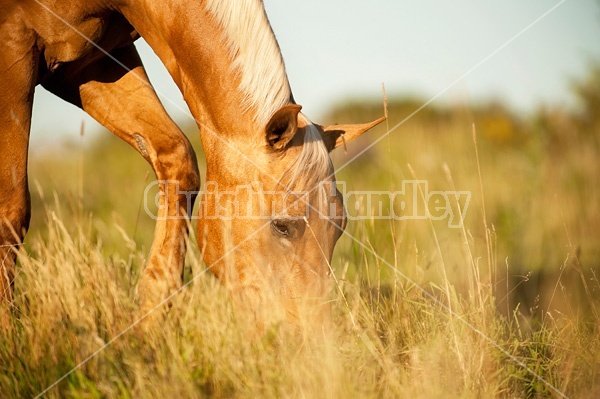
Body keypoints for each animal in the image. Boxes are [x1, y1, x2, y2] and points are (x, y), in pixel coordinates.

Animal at [0, 0, 382, 326]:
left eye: (340, 225)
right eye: (282, 226)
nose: (311, 336)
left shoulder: (90, 64)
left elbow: (177, 157)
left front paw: (150, 328)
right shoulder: (14, 49)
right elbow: (12, 210)